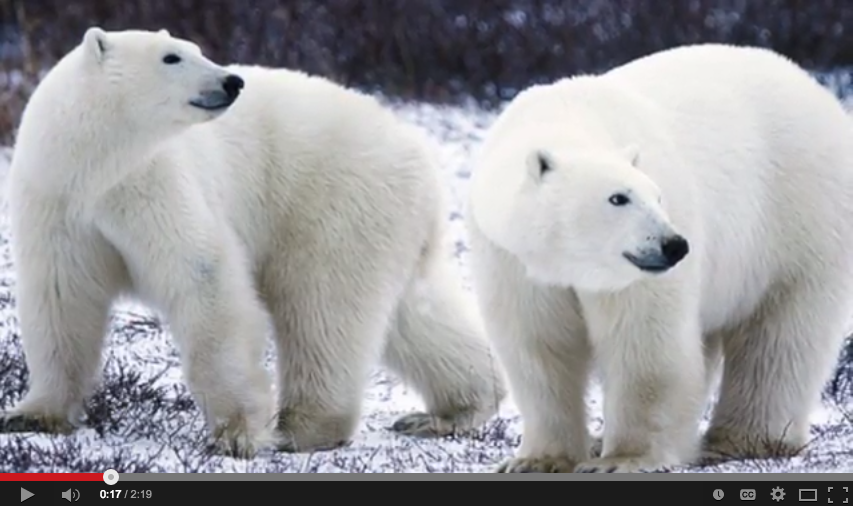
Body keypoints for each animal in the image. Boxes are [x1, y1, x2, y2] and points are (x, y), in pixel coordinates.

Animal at [1, 27, 506, 458]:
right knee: (414, 314)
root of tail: (420, 153)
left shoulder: (154, 184)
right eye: (171, 56)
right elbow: (62, 299)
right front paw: (32, 415)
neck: (94, 167)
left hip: (334, 201)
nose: (232, 81)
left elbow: (204, 277)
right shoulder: (57, 203)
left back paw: (301, 427)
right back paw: (453, 410)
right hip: (387, 221)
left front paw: (237, 433)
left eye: (195, 48)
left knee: (321, 307)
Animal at [465, 43, 853, 473]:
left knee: (780, 336)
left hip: (799, 217)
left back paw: (742, 440)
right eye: (618, 197)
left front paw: (621, 459)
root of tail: (815, 89)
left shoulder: (635, 275)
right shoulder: (512, 260)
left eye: (658, 195)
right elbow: (539, 346)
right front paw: (538, 460)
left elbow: (644, 342)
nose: (675, 245)